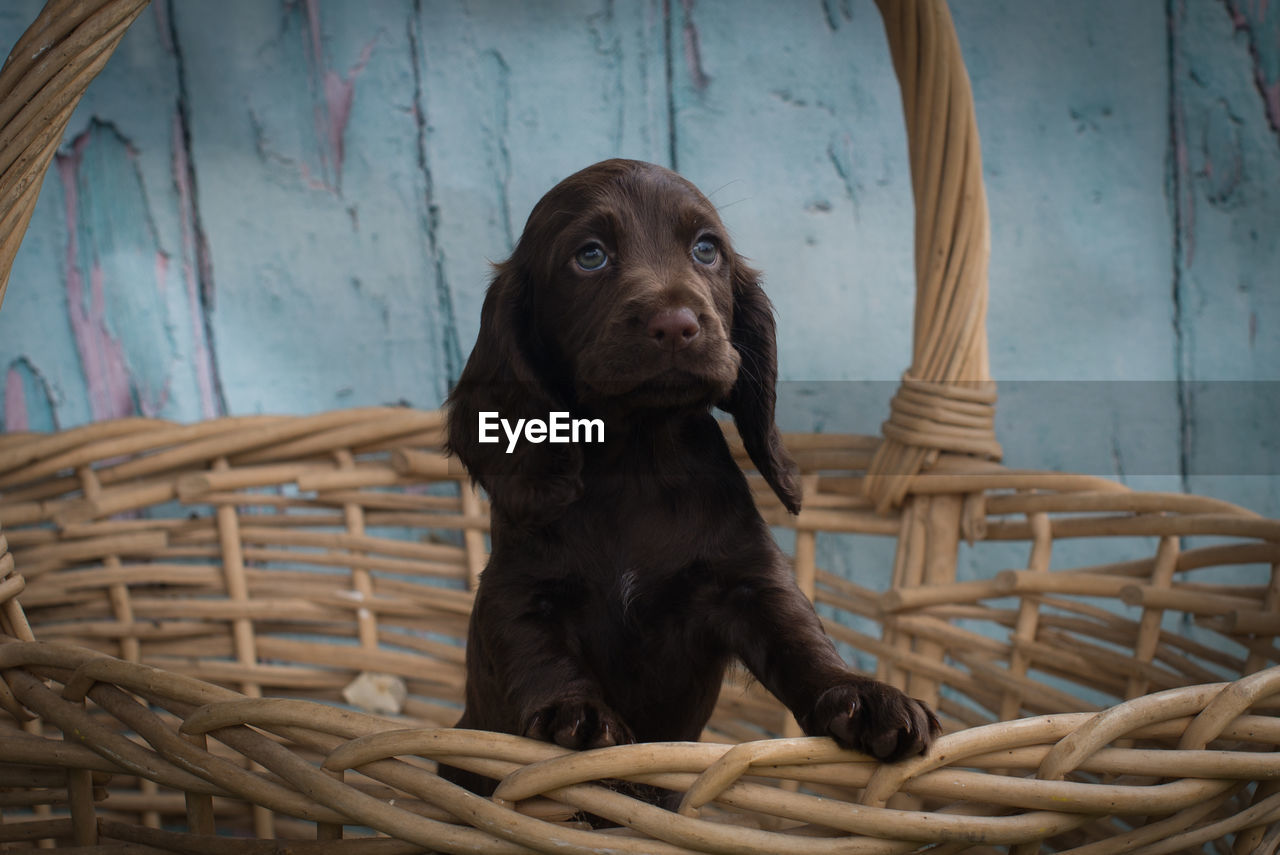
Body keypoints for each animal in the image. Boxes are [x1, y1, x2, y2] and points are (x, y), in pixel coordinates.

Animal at [445, 158, 936, 793]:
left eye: (706, 249)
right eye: (590, 255)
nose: (676, 325)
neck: (637, 461)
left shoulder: (749, 583)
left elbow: (801, 639)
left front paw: (863, 694)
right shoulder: (518, 592)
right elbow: (541, 658)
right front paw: (575, 715)